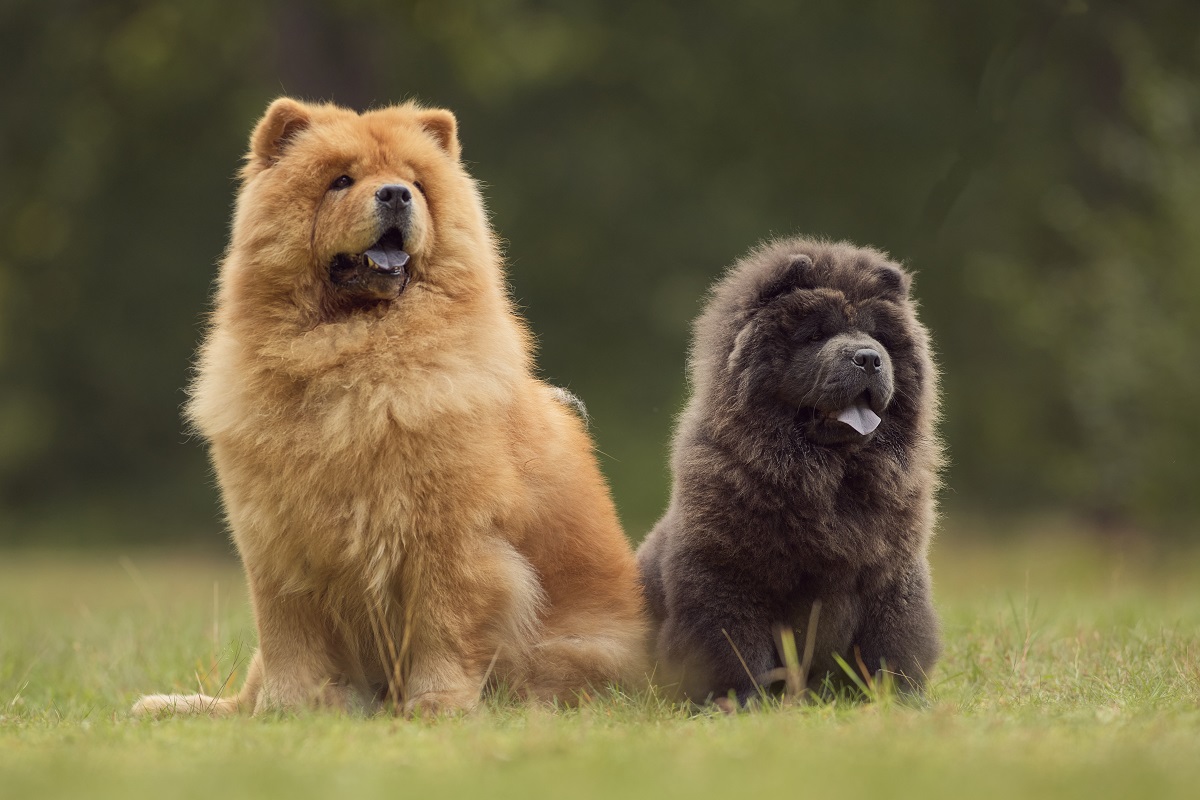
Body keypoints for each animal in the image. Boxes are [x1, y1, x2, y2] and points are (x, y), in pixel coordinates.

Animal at [131, 97, 648, 714]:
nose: (396, 194)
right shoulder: (274, 538)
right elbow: (286, 636)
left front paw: (436, 705)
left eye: (417, 184)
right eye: (341, 181)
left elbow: (441, 626)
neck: (349, 355)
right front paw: (286, 711)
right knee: (242, 693)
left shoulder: (445, 535)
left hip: (571, 655)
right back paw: (174, 707)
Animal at [643, 236, 940, 700]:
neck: (831, 480)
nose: (868, 358)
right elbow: (736, 647)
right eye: (816, 334)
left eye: (878, 335)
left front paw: (900, 700)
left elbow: (893, 643)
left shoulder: (892, 577)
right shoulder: (726, 577)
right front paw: (741, 702)